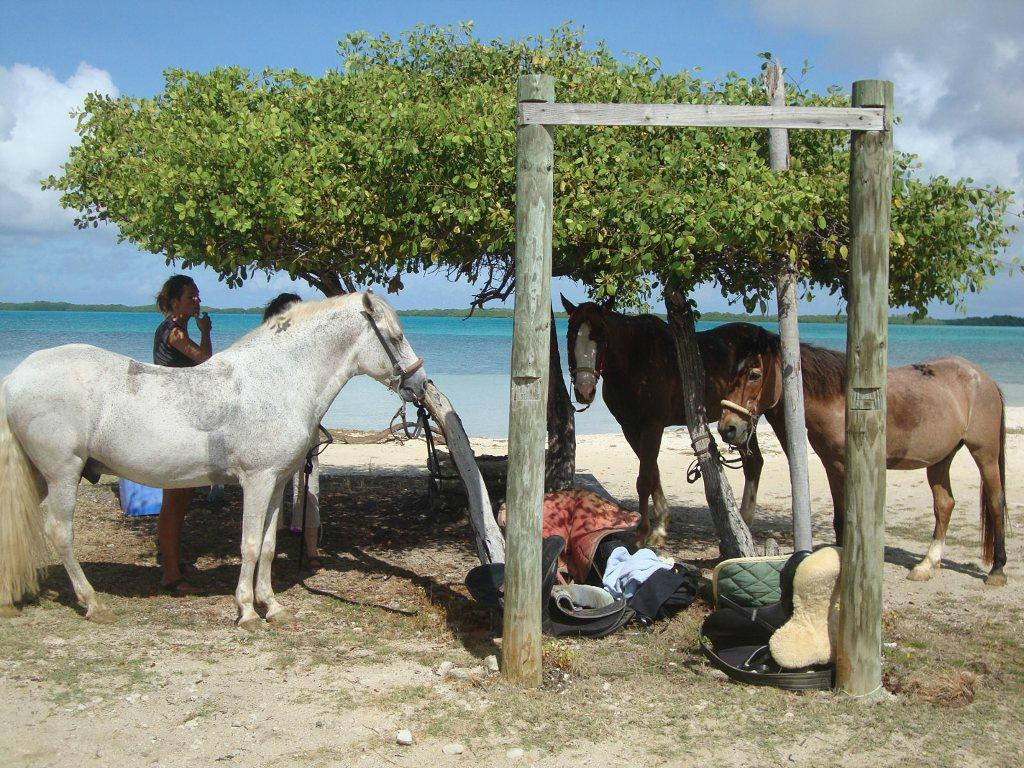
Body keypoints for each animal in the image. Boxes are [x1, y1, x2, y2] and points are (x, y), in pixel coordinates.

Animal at [0, 291, 429, 627]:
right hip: (62, 473)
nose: (420, 385)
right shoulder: (257, 480)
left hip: (39, 475)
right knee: (60, 533)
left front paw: (272, 606)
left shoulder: (275, 483)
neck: (278, 380)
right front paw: (248, 612)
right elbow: (250, 544)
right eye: (395, 336)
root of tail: (16, 377)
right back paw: (92, 603)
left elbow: (269, 545)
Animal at [561, 296, 777, 547]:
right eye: (570, 336)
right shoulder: (630, 428)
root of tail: (766, 336)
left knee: (754, 462)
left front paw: (643, 533)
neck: (636, 359)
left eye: (602, 336)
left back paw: (743, 522)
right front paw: (661, 526)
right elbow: (652, 472)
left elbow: (645, 479)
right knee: (754, 462)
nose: (584, 389)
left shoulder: (652, 426)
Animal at [715, 325, 1008, 586]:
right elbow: (838, 521)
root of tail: (984, 379)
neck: (840, 401)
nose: (727, 427)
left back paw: (997, 570)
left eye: (754, 374)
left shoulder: (845, 468)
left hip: (985, 454)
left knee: (995, 503)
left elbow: (848, 521)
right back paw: (926, 565)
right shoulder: (832, 467)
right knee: (944, 505)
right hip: (939, 460)